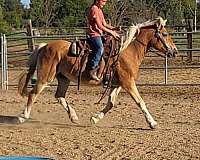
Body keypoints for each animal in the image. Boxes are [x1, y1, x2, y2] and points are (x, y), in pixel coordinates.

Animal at [17, 16, 177, 129]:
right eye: (165, 33)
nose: (174, 51)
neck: (127, 51)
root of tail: (45, 46)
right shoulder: (128, 82)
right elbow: (140, 102)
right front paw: (152, 123)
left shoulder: (117, 84)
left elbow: (111, 103)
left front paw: (95, 118)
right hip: (45, 77)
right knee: (33, 94)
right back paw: (22, 117)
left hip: (63, 78)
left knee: (59, 96)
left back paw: (74, 117)